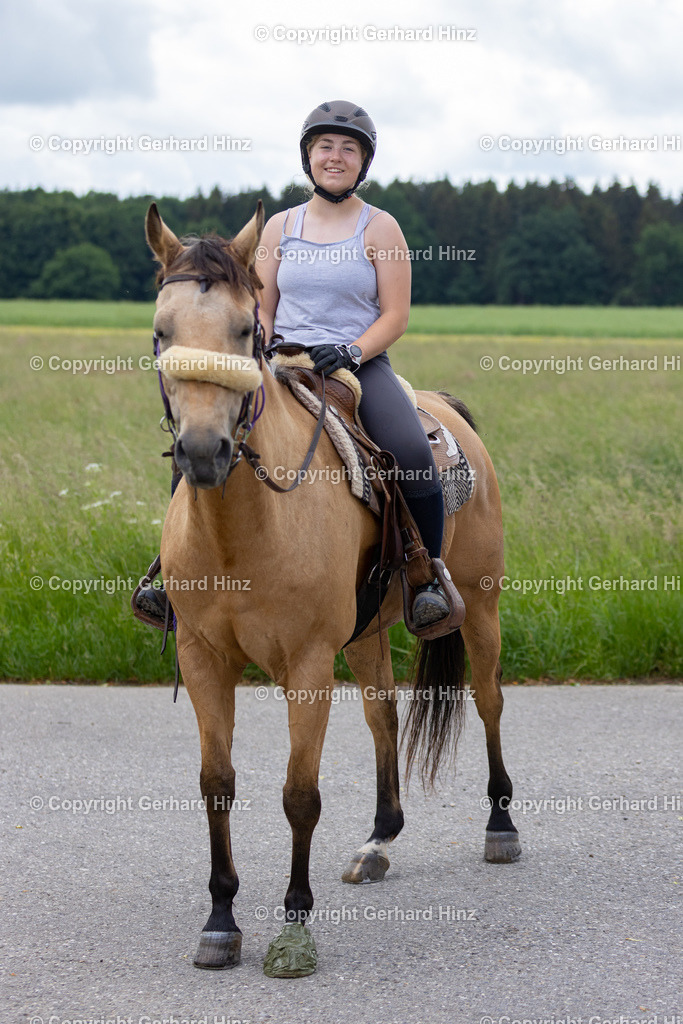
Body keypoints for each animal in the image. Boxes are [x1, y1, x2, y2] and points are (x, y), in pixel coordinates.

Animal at [143, 199, 518, 974]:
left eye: (245, 330)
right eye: (162, 331)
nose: (203, 451)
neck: (245, 528)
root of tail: (448, 410)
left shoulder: (308, 663)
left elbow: (299, 795)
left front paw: (293, 927)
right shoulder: (203, 658)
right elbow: (216, 786)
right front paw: (220, 920)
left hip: (479, 605)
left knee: (489, 701)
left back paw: (501, 826)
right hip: (370, 631)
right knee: (383, 714)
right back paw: (377, 841)